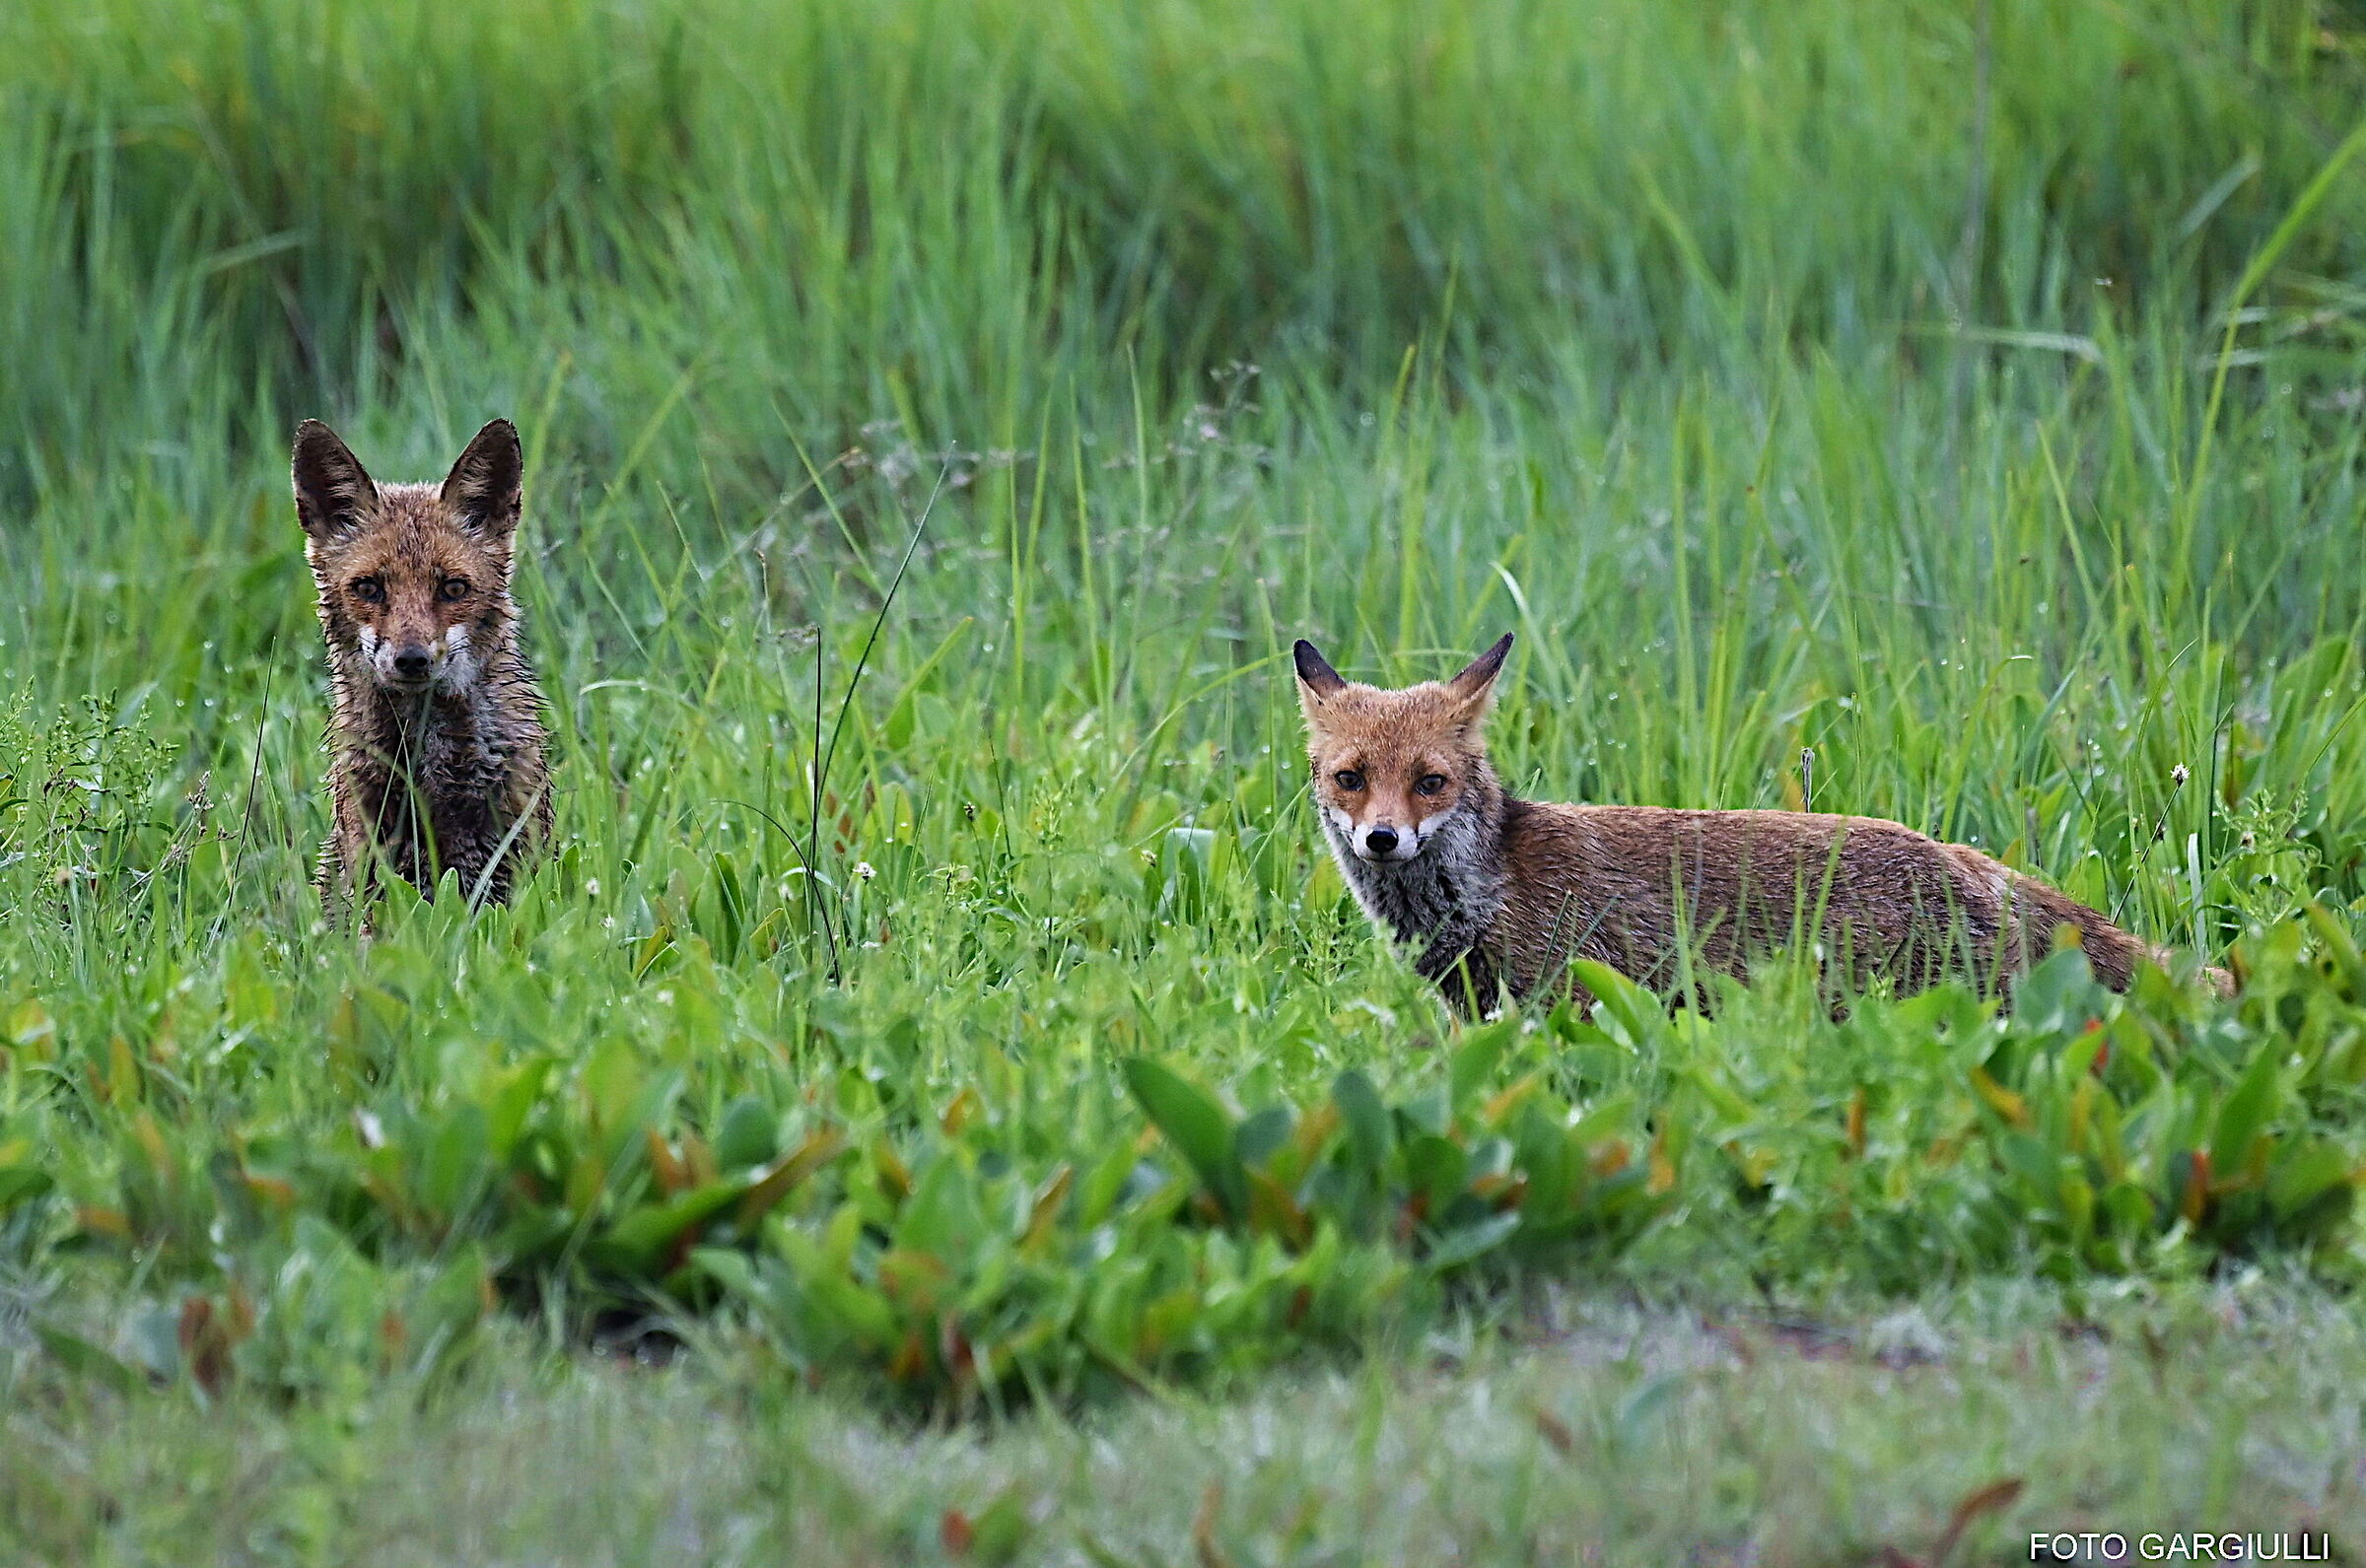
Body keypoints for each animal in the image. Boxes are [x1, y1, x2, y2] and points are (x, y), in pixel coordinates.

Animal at [1293, 633, 2229, 1015]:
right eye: (1351, 779)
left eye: (1429, 782)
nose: (1382, 837)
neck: (1481, 891)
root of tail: (1958, 857)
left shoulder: (1572, 1001)